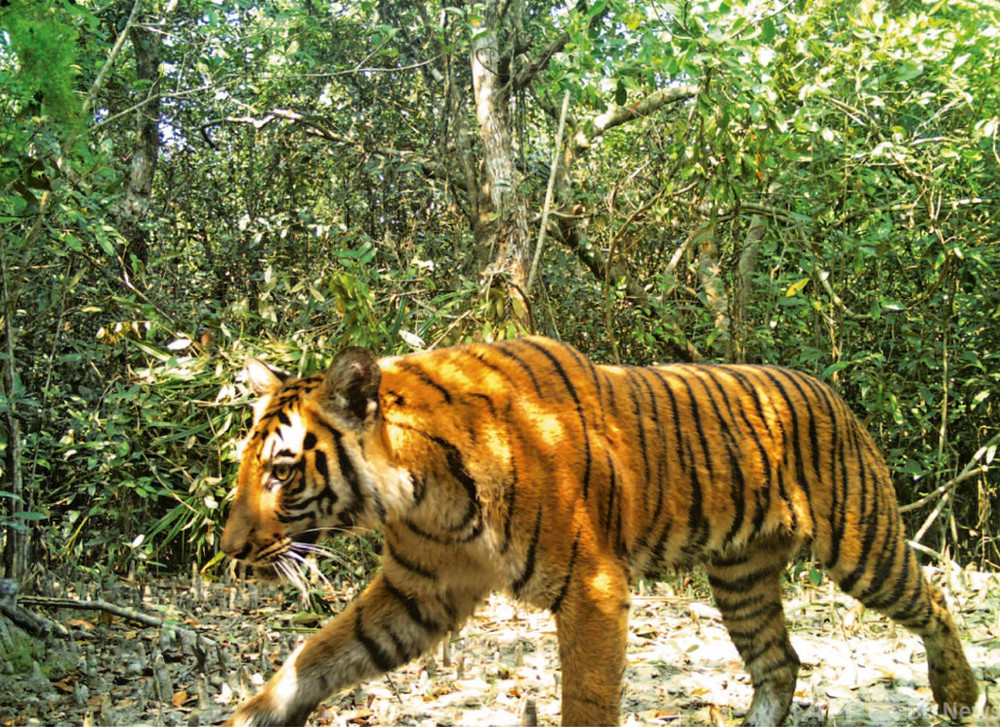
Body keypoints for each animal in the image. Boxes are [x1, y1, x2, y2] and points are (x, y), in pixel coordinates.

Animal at [219, 336, 976, 727]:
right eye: (246, 466)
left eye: (282, 472)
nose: (228, 550)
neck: (421, 494)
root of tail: (831, 389)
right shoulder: (418, 592)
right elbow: (318, 655)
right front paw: (253, 715)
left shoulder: (592, 585)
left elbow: (585, 697)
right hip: (741, 575)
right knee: (779, 661)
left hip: (860, 544)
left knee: (934, 601)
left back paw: (958, 693)